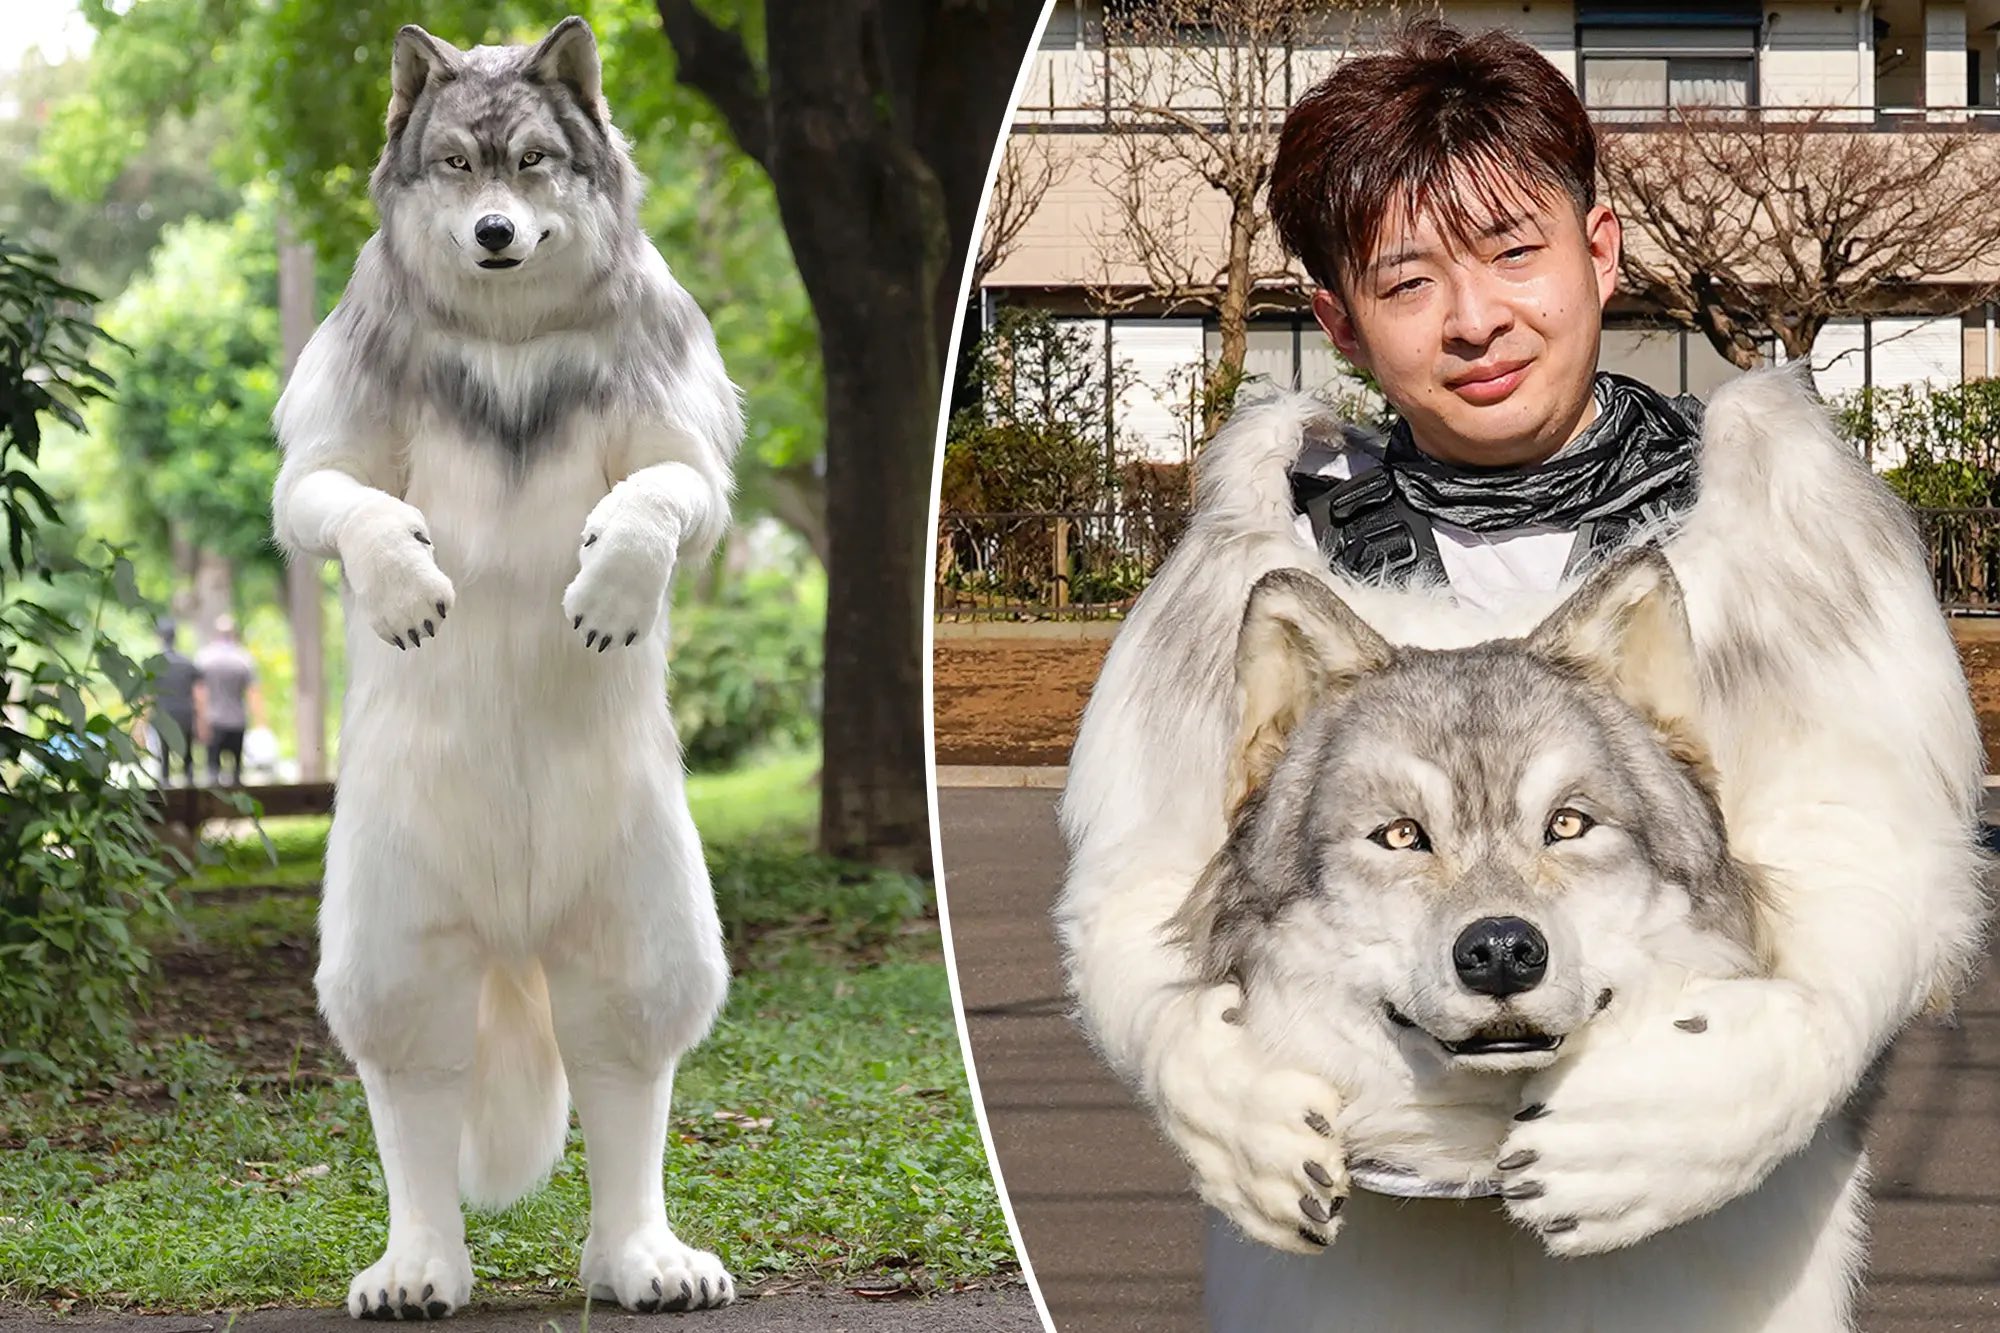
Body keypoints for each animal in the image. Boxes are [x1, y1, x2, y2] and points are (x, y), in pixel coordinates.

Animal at [270, 18, 740, 1319]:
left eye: (533, 163)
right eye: (453, 167)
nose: (492, 233)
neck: (508, 333)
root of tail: (516, 926)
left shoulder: (674, 426)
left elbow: (664, 492)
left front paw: (616, 577)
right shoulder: (335, 431)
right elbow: (336, 496)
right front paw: (400, 578)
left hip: (637, 896)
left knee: (623, 1049)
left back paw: (638, 1255)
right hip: (395, 916)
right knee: (415, 1069)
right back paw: (420, 1263)